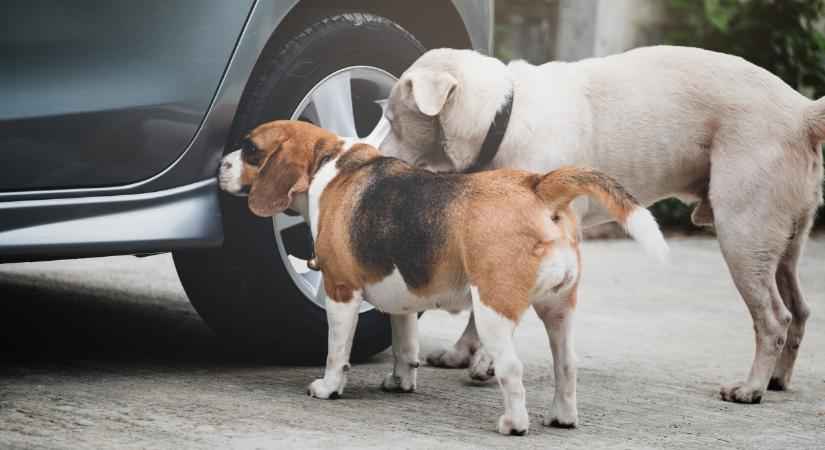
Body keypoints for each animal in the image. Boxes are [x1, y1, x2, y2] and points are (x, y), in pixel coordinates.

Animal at [219, 120, 668, 436]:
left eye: (251, 149)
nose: (220, 166)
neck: (326, 165)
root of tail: (538, 185)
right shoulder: (400, 298)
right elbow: (405, 346)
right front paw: (401, 382)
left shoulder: (341, 292)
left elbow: (336, 353)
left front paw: (328, 388)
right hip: (559, 309)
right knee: (567, 364)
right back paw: (561, 418)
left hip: (491, 311)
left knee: (511, 369)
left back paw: (514, 425)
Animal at [382, 45, 824, 412]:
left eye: (391, 119)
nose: (376, 156)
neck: (503, 118)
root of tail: (802, 112)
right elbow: (480, 306)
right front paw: (463, 352)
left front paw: (487, 361)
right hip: (783, 240)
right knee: (799, 309)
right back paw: (777, 379)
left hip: (743, 234)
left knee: (774, 318)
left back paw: (751, 387)